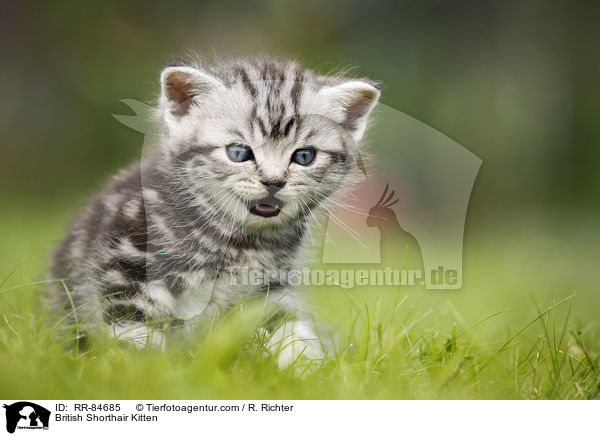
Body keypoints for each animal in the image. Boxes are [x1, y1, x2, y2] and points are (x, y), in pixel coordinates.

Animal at [51, 57, 380, 364]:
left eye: (304, 156)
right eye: (239, 152)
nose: (273, 182)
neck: (242, 242)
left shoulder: (270, 291)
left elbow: (289, 330)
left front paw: (305, 366)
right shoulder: (125, 264)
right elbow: (134, 334)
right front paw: (147, 370)